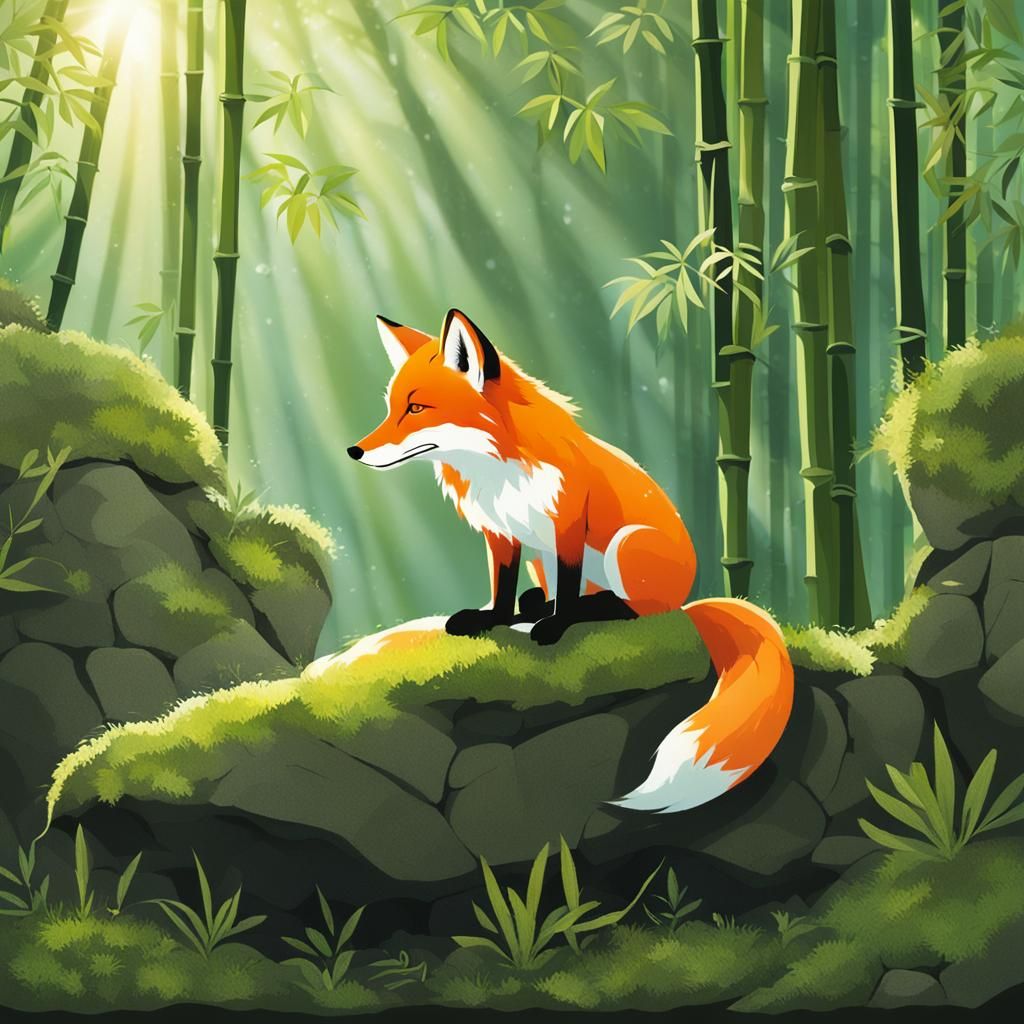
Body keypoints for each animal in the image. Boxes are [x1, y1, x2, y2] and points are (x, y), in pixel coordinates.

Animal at [348, 308, 794, 813]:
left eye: (417, 409)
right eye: (391, 408)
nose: (354, 451)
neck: (498, 468)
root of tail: (689, 601)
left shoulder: (566, 526)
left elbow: (568, 585)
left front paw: (556, 626)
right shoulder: (503, 533)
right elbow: (502, 588)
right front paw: (493, 618)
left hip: (625, 547)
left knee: (632, 609)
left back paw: (579, 610)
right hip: (541, 556)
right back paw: (532, 607)